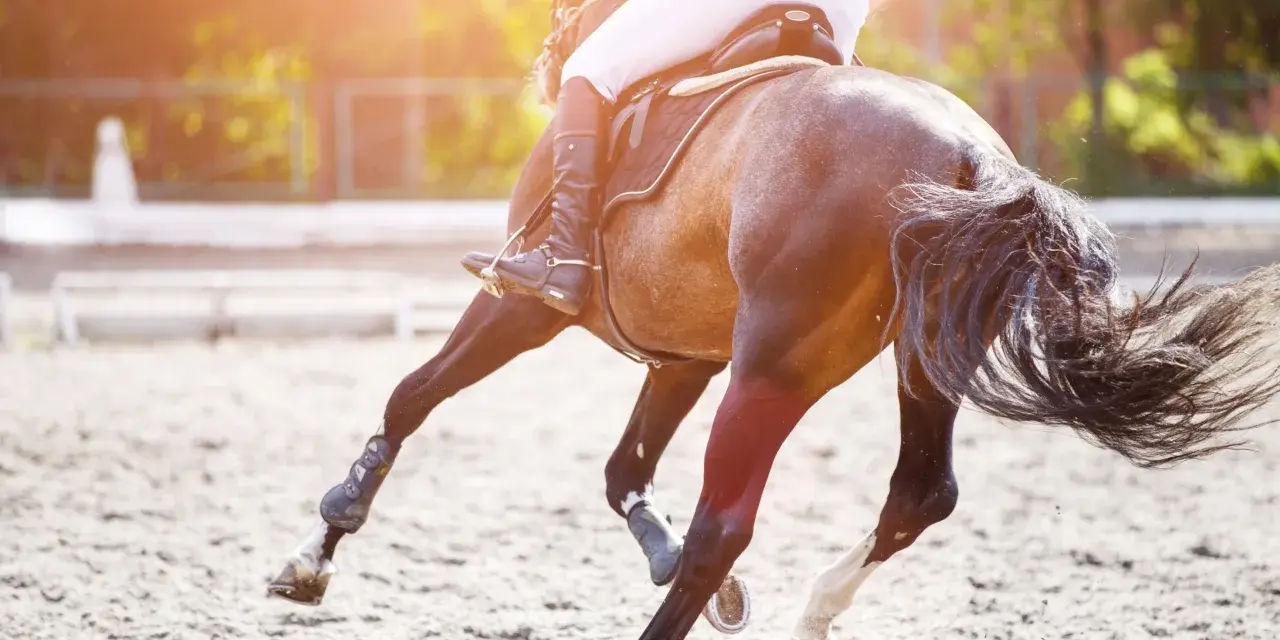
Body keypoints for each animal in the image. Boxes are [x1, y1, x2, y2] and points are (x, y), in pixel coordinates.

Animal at [267, 1, 1280, 638]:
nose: (546, 59)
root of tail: (973, 156)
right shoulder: (683, 353)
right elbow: (622, 470)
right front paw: (673, 558)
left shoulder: (525, 306)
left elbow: (411, 396)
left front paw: (316, 551)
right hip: (917, 358)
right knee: (920, 493)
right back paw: (812, 605)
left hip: (774, 369)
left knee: (732, 521)